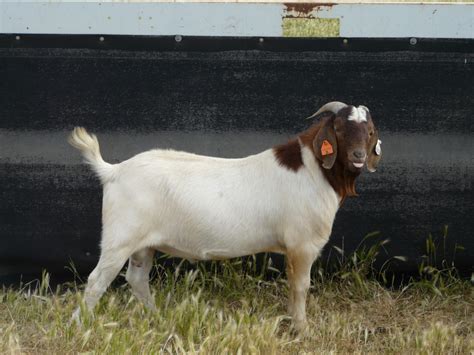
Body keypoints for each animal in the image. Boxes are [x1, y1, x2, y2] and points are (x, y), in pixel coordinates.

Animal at [69, 101, 382, 330]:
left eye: (369, 132)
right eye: (338, 128)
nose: (358, 156)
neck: (314, 170)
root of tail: (114, 171)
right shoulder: (302, 245)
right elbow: (300, 286)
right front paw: (302, 329)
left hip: (143, 244)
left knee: (137, 278)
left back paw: (157, 317)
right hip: (120, 237)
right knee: (96, 281)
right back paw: (79, 326)